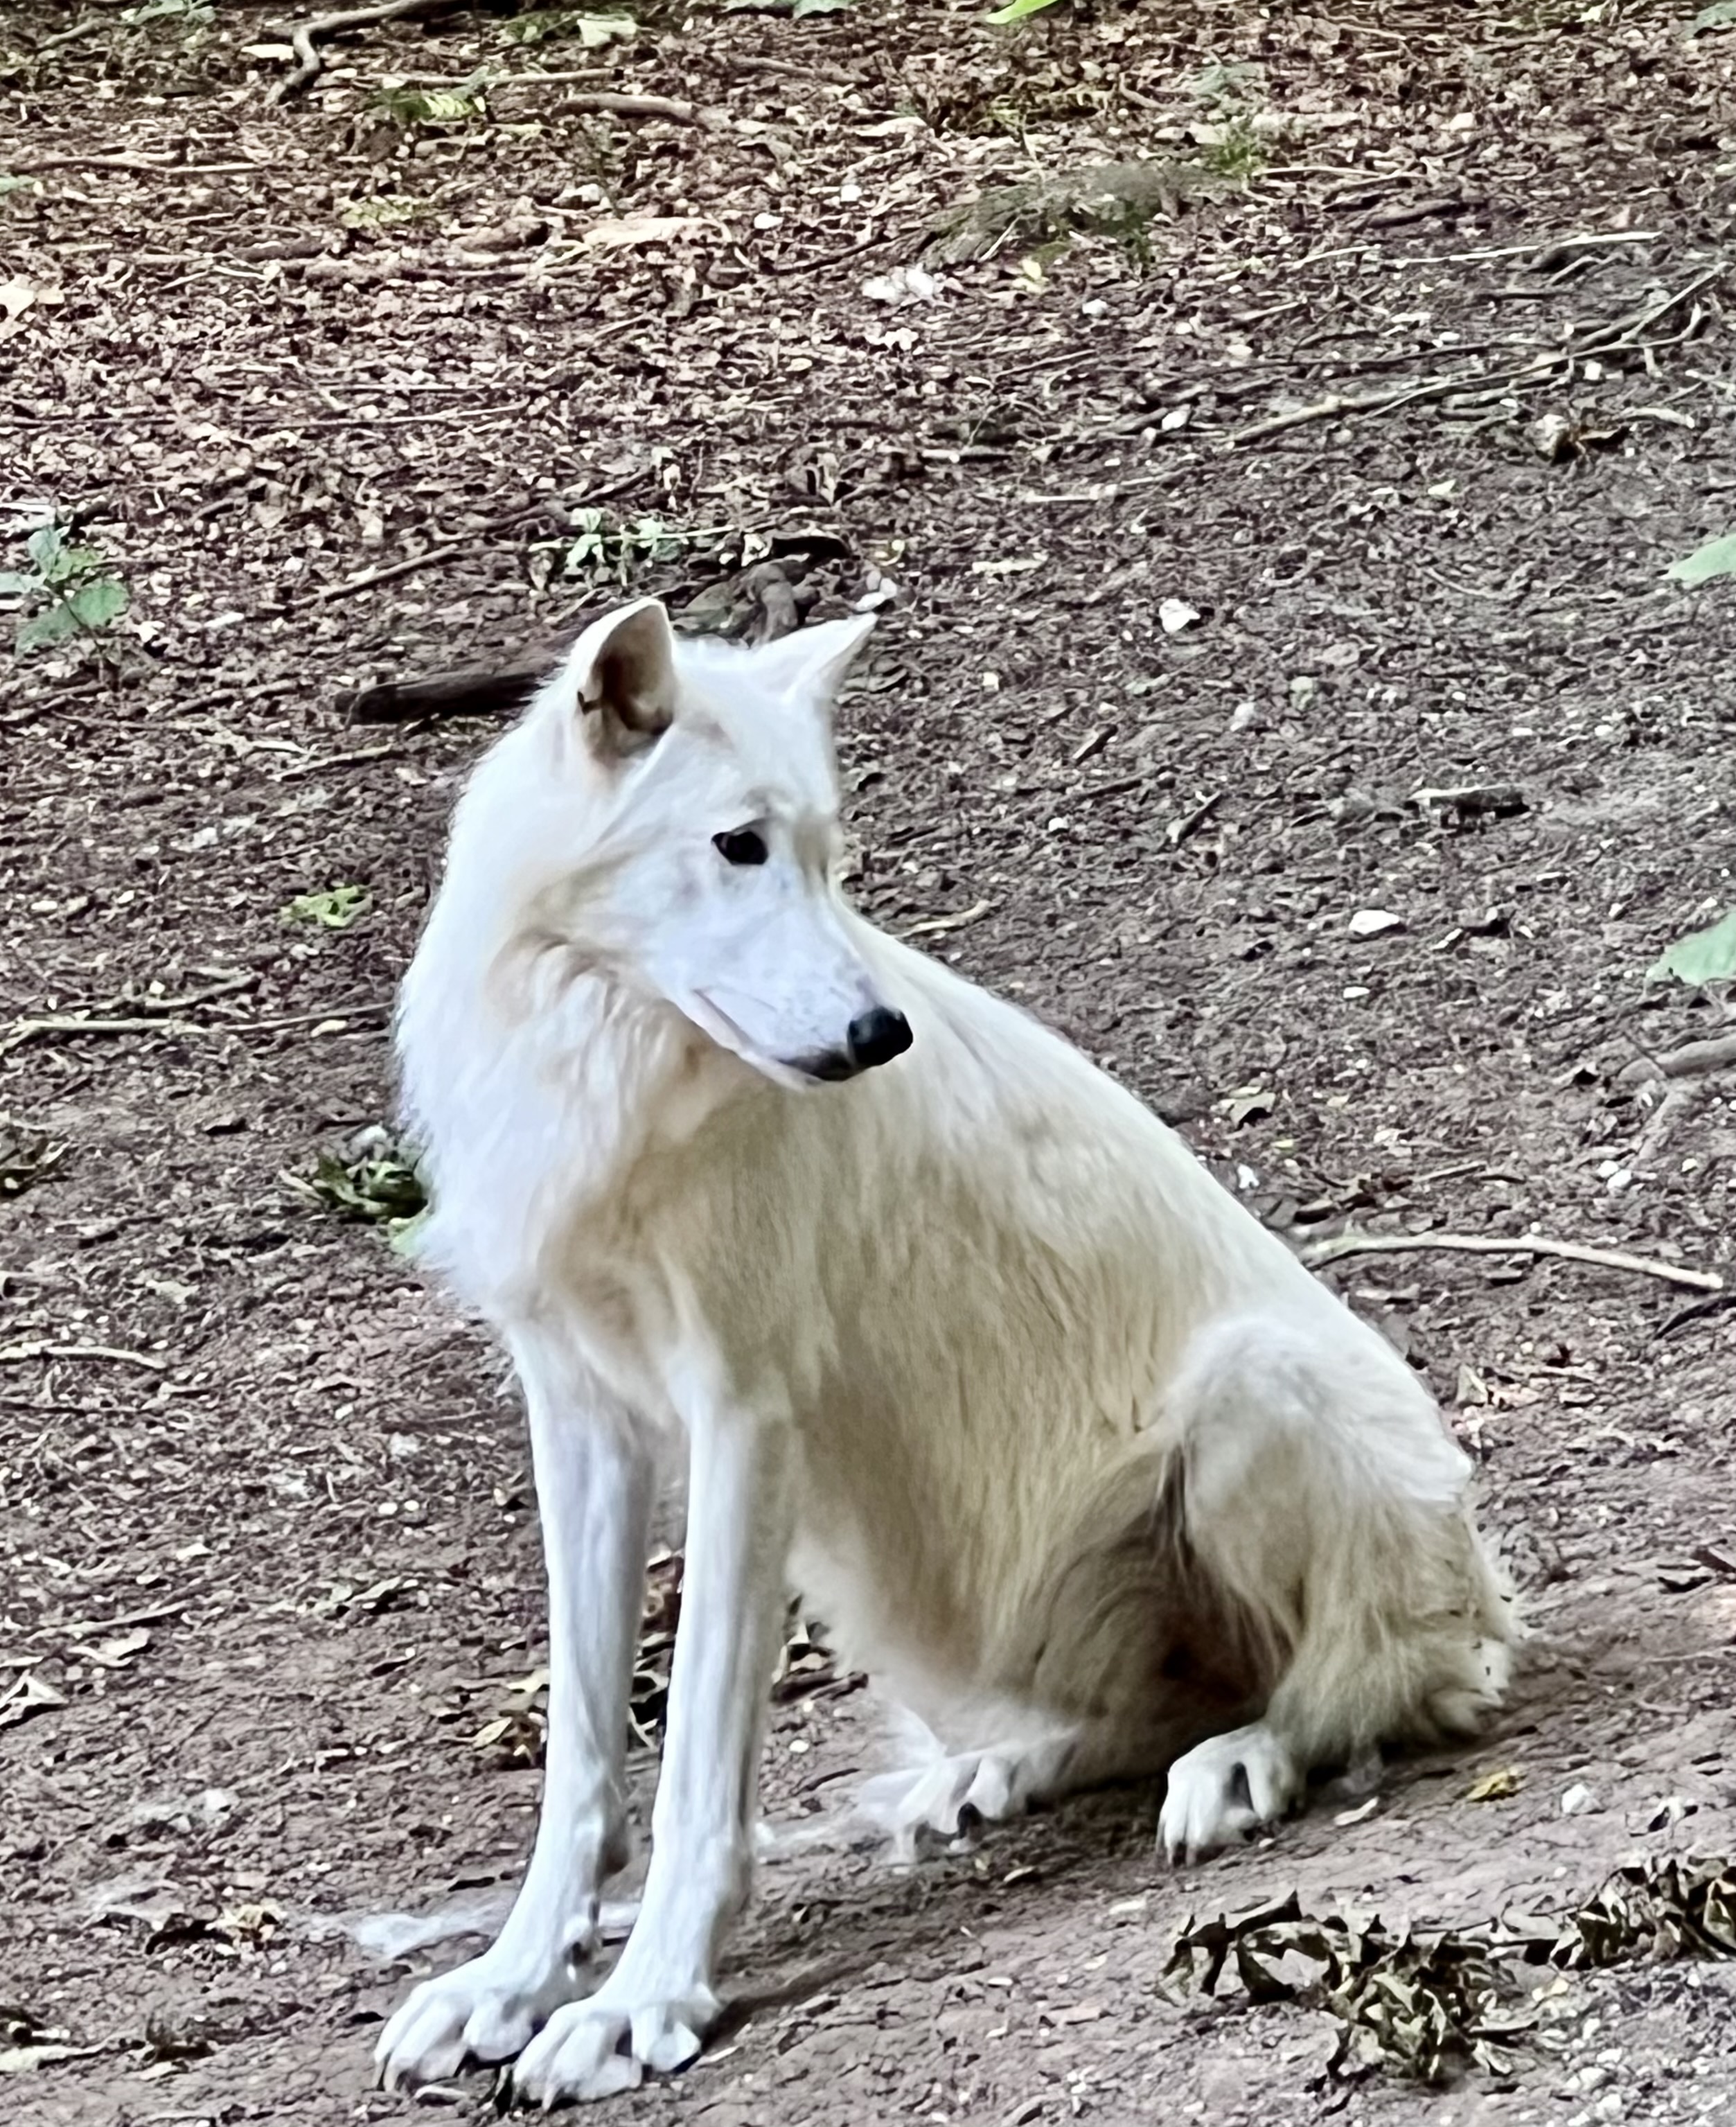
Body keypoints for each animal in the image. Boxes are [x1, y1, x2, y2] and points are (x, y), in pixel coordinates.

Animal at [375, 598, 1516, 2104]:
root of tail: (1485, 1593)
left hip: (1249, 1397)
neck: (603, 1062)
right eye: (739, 846)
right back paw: (993, 1777)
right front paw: (511, 1981)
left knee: (1352, 1681)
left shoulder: (744, 1419)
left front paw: (639, 2004)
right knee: (1147, 1709)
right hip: (887, 1585)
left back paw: (1243, 1763)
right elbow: (582, 1760)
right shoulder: (580, 1417)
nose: (879, 1037)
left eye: (825, 853)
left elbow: (692, 1776)